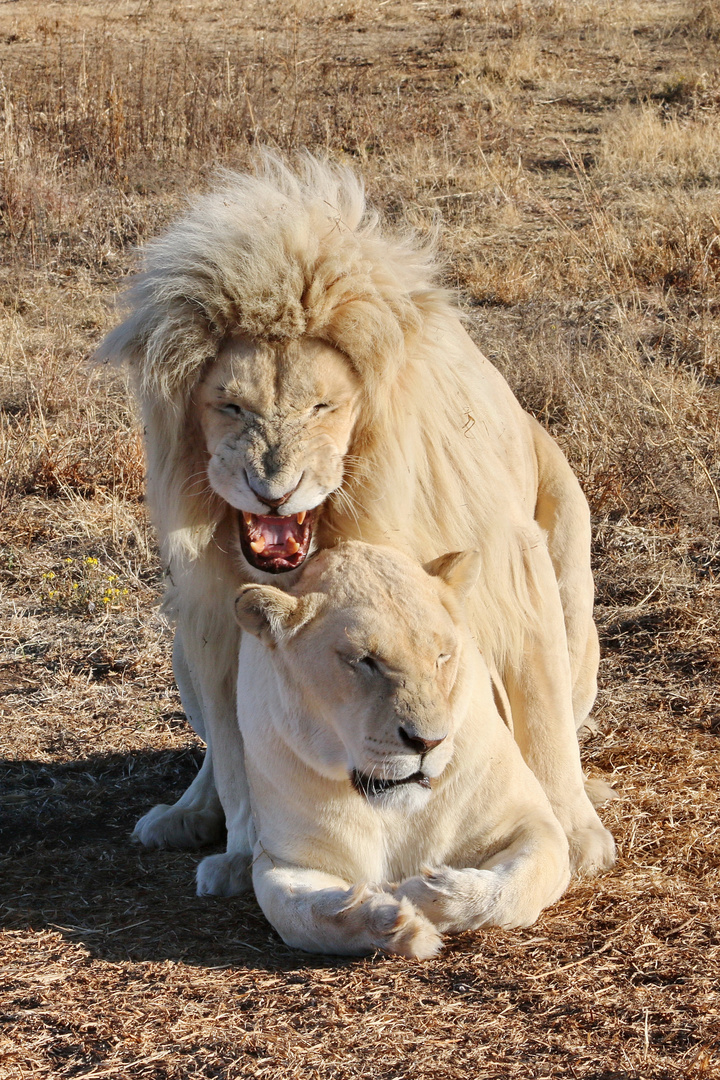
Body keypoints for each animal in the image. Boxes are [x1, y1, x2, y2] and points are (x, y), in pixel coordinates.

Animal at [95, 154, 613, 876]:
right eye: (229, 406)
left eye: (323, 406)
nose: (271, 488)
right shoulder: (218, 620)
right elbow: (237, 749)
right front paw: (245, 851)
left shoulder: (512, 569)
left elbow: (540, 712)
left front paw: (574, 833)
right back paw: (186, 814)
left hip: (573, 600)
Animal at [199, 544, 569, 959]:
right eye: (364, 661)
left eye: (442, 657)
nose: (428, 743)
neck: (395, 814)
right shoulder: (283, 859)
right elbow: (299, 914)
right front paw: (393, 920)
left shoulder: (532, 822)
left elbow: (517, 885)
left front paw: (423, 892)